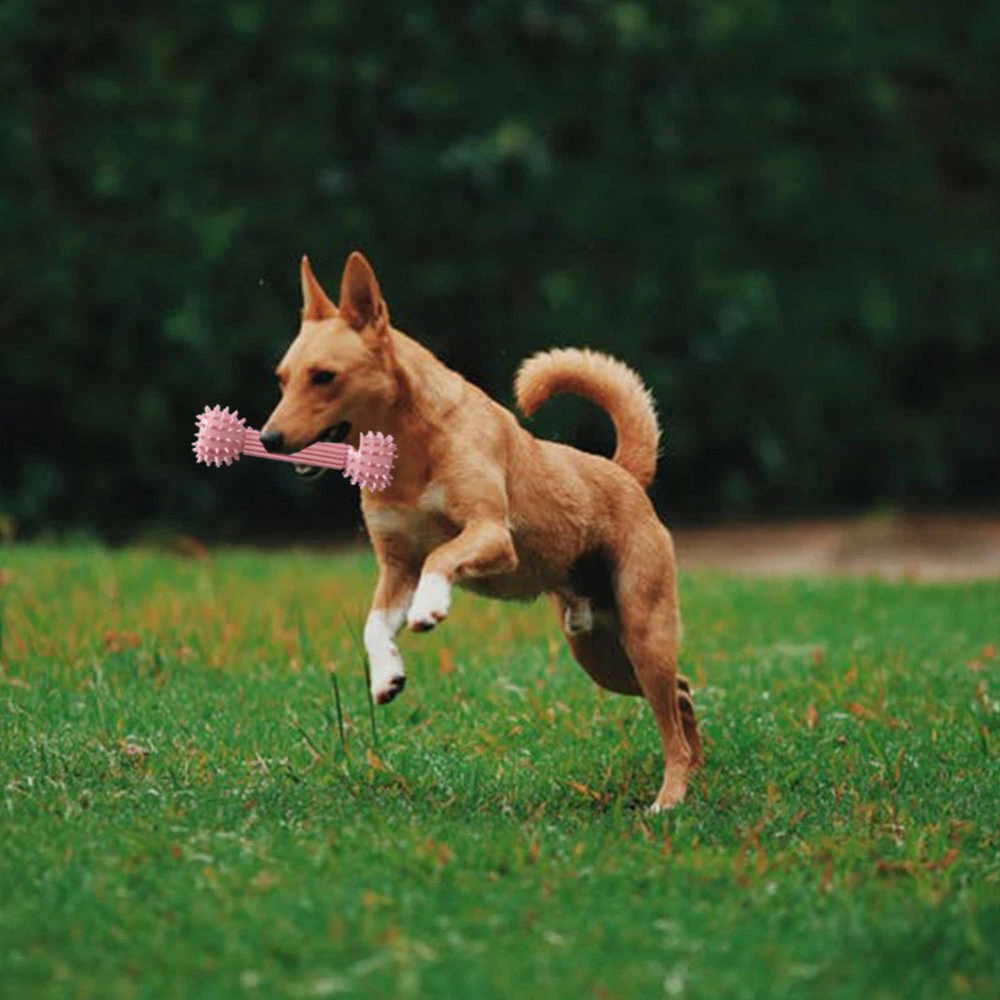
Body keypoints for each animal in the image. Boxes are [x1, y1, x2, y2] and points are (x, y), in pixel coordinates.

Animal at [261, 252, 703, 810]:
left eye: (324, 377)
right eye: (282, 379)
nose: (268, 439)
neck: (410, 454)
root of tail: (622, 472)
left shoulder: (491, 535)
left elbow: (441, 557)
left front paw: (430, 607)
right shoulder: (395, 568)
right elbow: (373, 624)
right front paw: (386, 675)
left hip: (643, 632)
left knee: (671, 716)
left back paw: (670, 798)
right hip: (599, 653)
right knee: (682, 696)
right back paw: (696, 775)